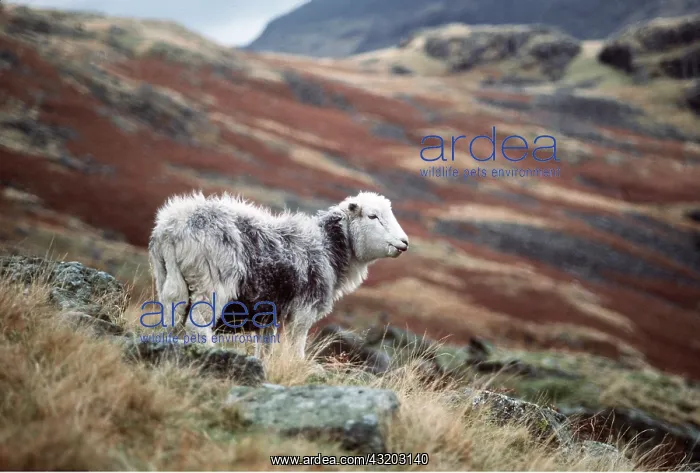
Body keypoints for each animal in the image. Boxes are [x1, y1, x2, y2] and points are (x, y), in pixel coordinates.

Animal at [148, 190, 409, 359]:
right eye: (372, 216)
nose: (404, 242)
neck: (329, 246)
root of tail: (172, 228)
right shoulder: (303, 311)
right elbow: (296, 349)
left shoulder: (269, 313)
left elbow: (265, 348)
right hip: (212, 282)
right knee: (198, 324)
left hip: (167, 277)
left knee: (171, 317)